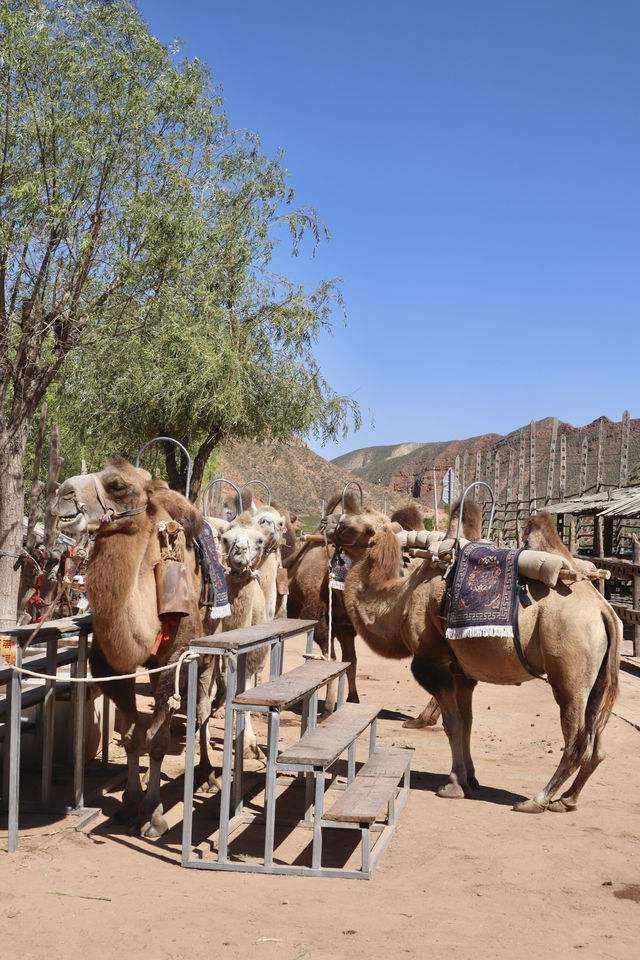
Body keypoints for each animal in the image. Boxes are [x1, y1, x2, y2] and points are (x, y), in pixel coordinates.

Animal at [49, 456, 222, 832]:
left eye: (117, 485)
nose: (62, 494)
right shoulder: (110, 665)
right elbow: (131, 736)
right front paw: (129, 804)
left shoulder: (174, 658)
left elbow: (158, 742)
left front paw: (153, 813)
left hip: (209, 649)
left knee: (202, 709)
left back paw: (206, 774)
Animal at [330, 506, 620, 812]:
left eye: (350, 525)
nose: (328, 522)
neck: (399, 602)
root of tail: (604, 611)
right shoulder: (462, 674)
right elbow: (467, 723)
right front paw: (470, 779)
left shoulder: (431, 664)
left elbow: (452, 723)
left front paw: (453, 785)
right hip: (599, 677)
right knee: (597, 743)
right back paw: (567, 799)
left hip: (569, 669)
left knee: (576, 740)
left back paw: (537, 799)